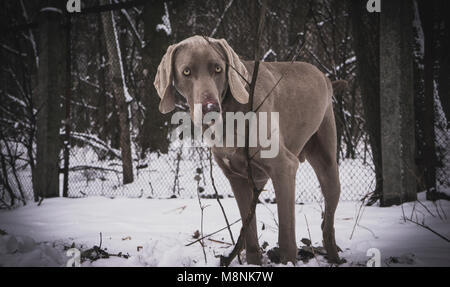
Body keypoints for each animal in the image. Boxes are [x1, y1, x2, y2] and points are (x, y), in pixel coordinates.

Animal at [153, 36, 342, 266]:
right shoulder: (237, 178)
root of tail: (323, 76)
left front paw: (287, 259)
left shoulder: (284, 167)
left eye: (218, 68)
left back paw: (334, 256)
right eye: (186, 71)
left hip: (327, 160)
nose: (210, 108)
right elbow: (249, 228)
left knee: (328, 221)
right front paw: (253, 261)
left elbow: (286, 234)